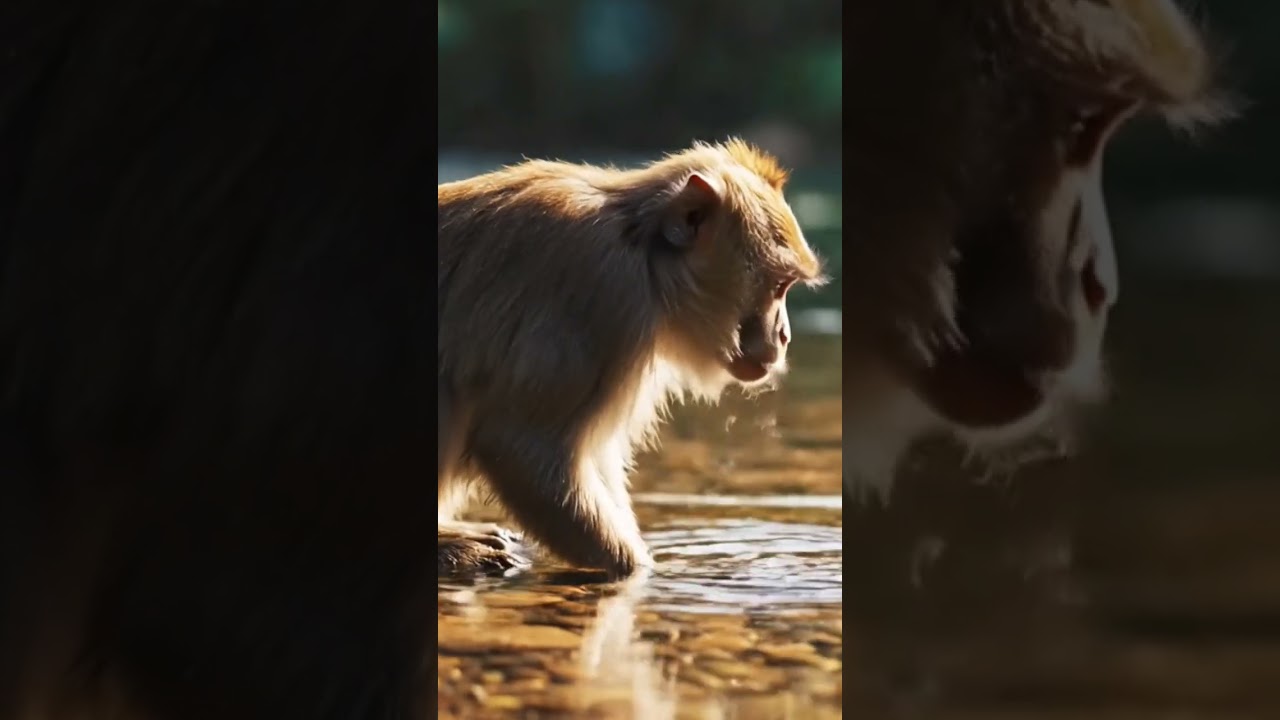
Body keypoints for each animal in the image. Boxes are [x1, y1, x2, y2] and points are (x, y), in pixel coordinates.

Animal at [437, 140, 826, 579]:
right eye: (779, 285)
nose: (785, 334)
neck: (642, 252)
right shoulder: (602, 289)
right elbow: (518, 445)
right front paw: (640, 571)